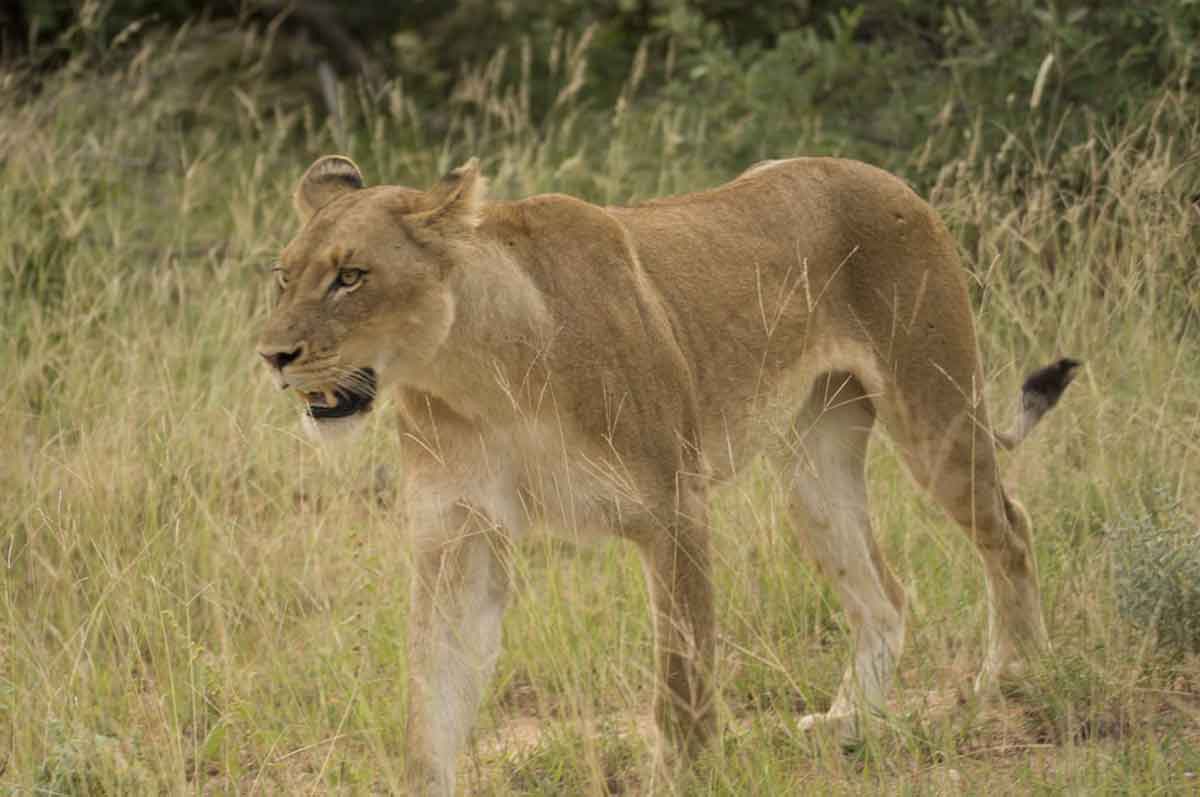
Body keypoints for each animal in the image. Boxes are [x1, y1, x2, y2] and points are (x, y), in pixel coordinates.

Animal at [257, 154, 1079, 794]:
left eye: (351, 276)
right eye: (282, 277)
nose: (272, 356)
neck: (477, 374)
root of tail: (884, 175)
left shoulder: (672, 508)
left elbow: (681, 682)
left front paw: (681, 776)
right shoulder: (460, 540)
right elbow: (433, 703)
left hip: (934, 408)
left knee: (1009, 528)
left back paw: (1015, 676)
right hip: (812, 463)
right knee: (885, 593)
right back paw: (850, 721)